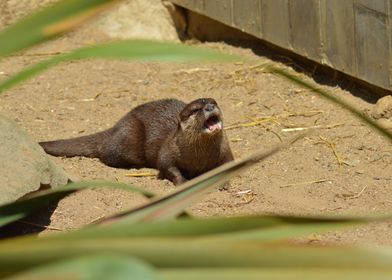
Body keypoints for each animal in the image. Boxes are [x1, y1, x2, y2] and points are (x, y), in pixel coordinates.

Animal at [40, 97, 233, 185]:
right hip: (129, 135)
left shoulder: (226, 152)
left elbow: (229, 165)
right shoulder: (168, 151)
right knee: (106, 154)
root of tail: (116, 126)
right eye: (195, 109)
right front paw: (182, 181)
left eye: (214, 102)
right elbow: (167, 166)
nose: (210, 107)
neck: (198, 159)